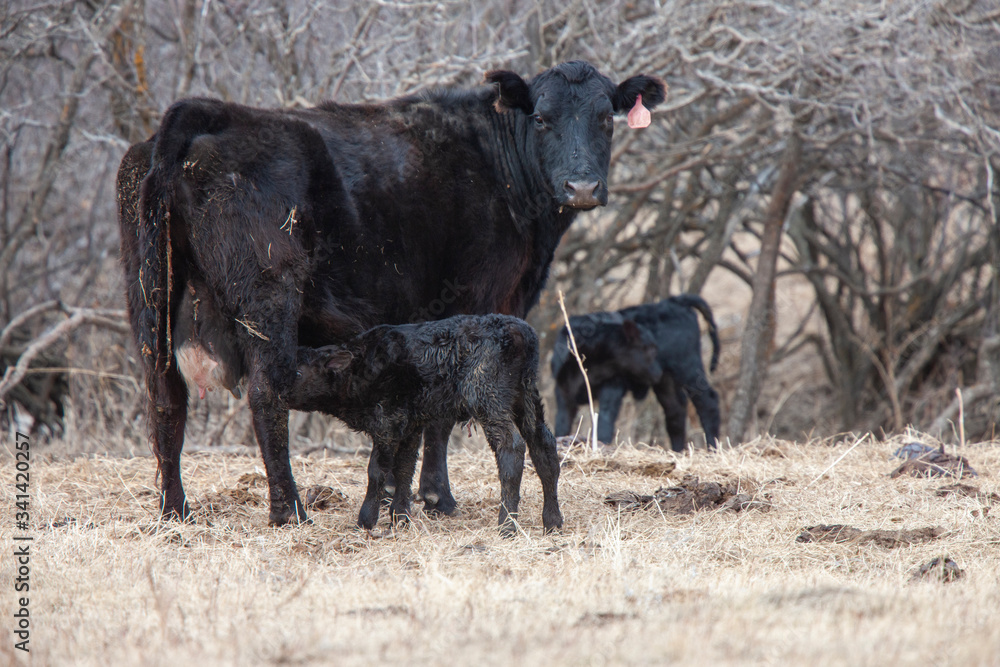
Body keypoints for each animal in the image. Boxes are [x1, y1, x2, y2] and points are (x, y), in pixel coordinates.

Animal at [286, 314, 562, 535]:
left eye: (298, 372)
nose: (278, 390)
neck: (360, 368)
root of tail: (519, 330)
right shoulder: (409, 424)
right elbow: (404, 468)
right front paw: (399, 519)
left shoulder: (386, 423)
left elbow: (377, 470)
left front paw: (365, 521)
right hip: (526, 396)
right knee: (544, 446)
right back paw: (552, 522)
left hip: (488, 397)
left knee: (511, 447)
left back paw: (507, 526)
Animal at [552, 294, 721, 451]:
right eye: (648, 348)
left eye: (654, 347)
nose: (657, 371)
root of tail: (675, 301)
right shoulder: (563, 392)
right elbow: (562, 424)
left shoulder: (613, 386)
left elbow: (605, 422)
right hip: (666, 381)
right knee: (675, 409)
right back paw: (678, 451)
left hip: (687, 367)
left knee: (708, 402)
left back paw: (712, 448)